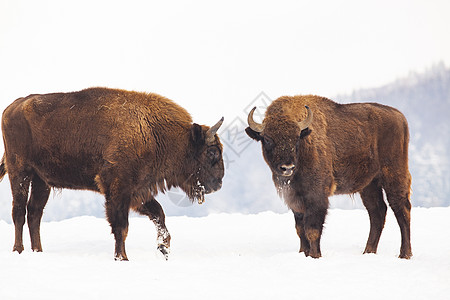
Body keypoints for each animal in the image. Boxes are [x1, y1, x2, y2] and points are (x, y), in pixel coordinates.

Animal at [0, 86, 225, 260]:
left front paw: (164, 248)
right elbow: (121, 226)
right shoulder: (118, 189)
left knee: (34, 212)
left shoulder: (137, 191)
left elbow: (158, 213)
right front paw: (122, 258)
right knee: (19, 211)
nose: (219, 183)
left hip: (41, 180)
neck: (154, 132)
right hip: (20, 171)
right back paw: (19, 250)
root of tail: (12, 107)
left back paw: (38, 251)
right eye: (211, 151)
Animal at [246, 95, 412, 258]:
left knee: (401, 208)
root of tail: (400, 116)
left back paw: (404, 254)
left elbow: (312, 230)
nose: (287, 167)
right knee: (377, 212)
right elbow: (300, 230)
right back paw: (368, 252)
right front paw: (304, 253)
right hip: (369, 185)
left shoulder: (316, 197)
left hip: (393, 174)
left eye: (296, 138)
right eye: (267, 139)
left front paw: (315, 255)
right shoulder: (295, 200)